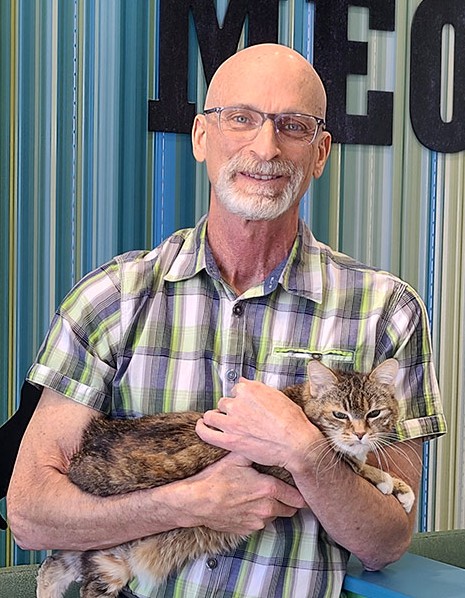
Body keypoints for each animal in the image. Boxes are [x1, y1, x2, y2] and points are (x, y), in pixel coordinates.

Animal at [36, 358, 414, 598]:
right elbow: (353, 464)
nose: (361, 433)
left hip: (106, 559)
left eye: (374, 413)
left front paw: (399, 485)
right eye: (340, 414)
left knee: (53, 567)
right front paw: (383, 478)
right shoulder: (302, 468)